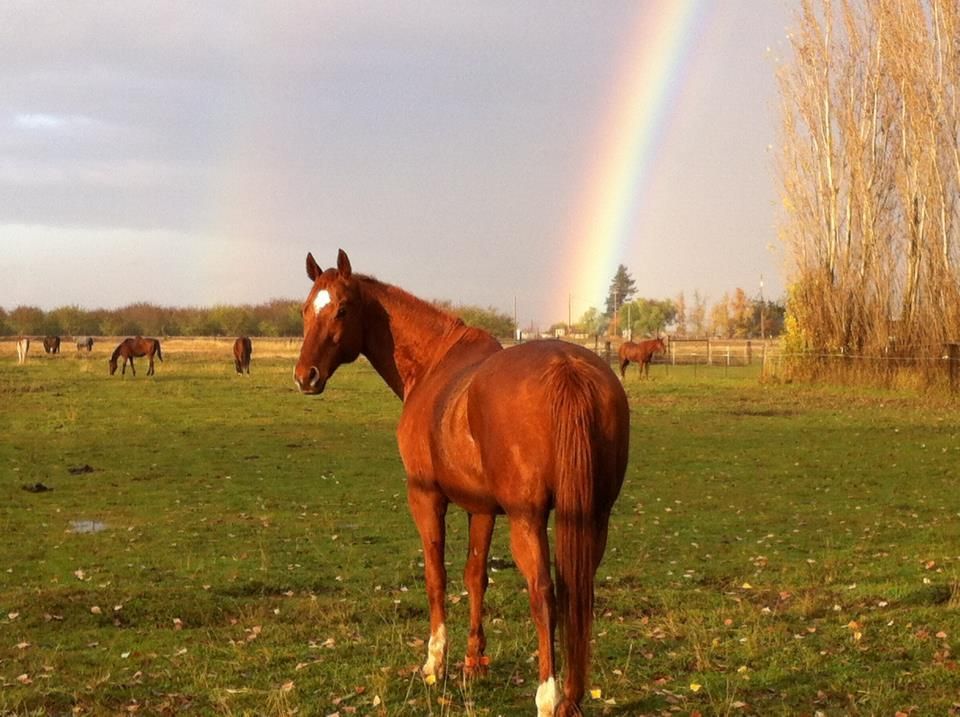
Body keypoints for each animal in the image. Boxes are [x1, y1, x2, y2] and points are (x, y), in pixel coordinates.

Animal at [292, 252, 632, 716]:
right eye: (305, 310)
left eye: (342, 309)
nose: (304, 376)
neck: (433, 364)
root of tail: (568, 370)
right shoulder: (482, 507)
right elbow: (475, 577)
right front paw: (474, 662)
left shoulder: (425, 496)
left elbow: (436, 576)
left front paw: (435, 662)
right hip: (594, 517)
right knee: (578, 592)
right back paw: (572, 698)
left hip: (528, 520)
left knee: (543, 594)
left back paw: (548, 695)